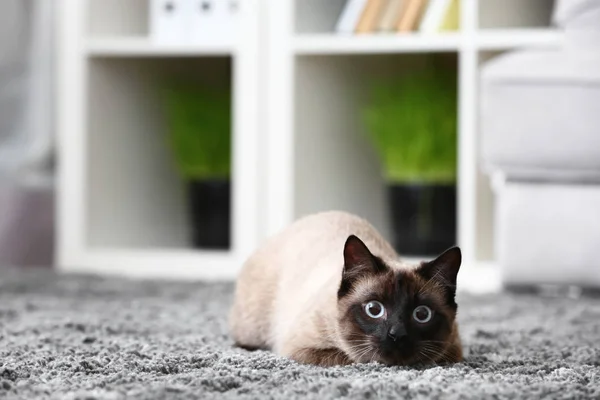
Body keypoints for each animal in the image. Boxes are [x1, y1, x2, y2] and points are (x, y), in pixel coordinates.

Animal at [230, 211, 464, 368]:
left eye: (422, 314)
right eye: (374, 310)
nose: (397, 335)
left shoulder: (452, 353)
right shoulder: (300, 350)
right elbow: (351, 358)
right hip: (254, 330)